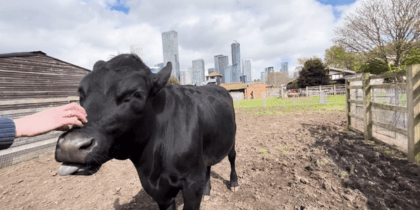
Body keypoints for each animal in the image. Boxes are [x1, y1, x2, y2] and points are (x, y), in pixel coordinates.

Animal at [55, 54, 240, 210]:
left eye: (137, 94)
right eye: (81, 94)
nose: (70, 146)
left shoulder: (192, 184)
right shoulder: (159, 192)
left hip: (232, 137)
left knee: (232, 157)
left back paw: (234, 183)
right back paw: (207, 191)